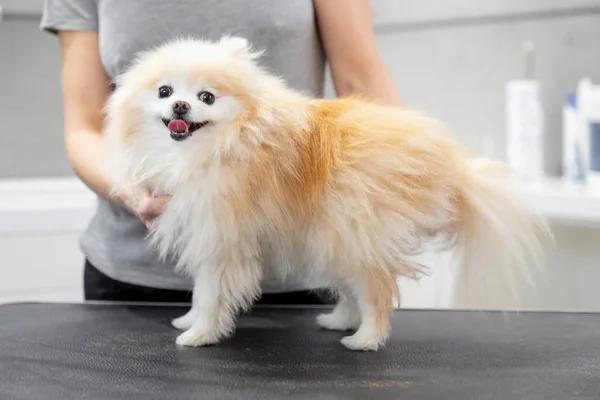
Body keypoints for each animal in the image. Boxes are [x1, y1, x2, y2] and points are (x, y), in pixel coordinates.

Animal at [102, 36, 548, 350]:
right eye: (164, 91)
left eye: (206, 97)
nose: (180, 106)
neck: (220, 143)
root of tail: (448, 164)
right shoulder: (205, 231)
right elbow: (199, 292)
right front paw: (188, 320)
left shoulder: (223, 237)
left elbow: (211, 295)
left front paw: (200, 335)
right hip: (335, 235)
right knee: (353, 287)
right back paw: (339, 321)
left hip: (356, 230)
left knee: (376, 291)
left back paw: (365, 339)